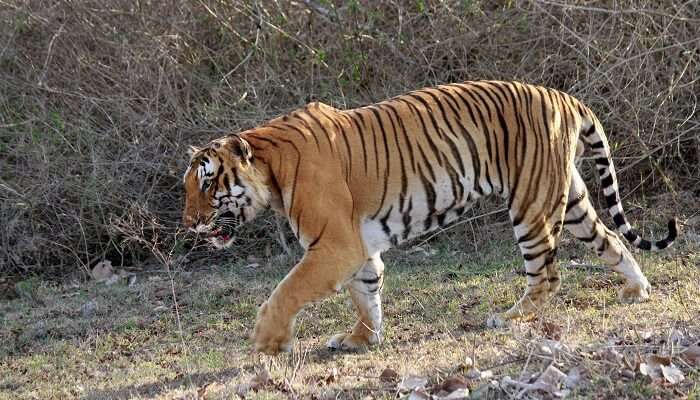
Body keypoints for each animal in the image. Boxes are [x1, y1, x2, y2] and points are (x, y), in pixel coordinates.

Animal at [182, 79, 680, 354]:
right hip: (568, 199)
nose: (189, 224)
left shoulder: (333, 245)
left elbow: (285, 291)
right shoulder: (357, 246)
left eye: (206, 184)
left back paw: (511, 317)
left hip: (530, 203)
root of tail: (565, 97)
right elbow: (366, 295)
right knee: (611, 241)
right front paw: (361, 340)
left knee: (547, 273)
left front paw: (268, 342)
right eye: (188, 186)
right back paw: (637, 290)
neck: (270, 167)